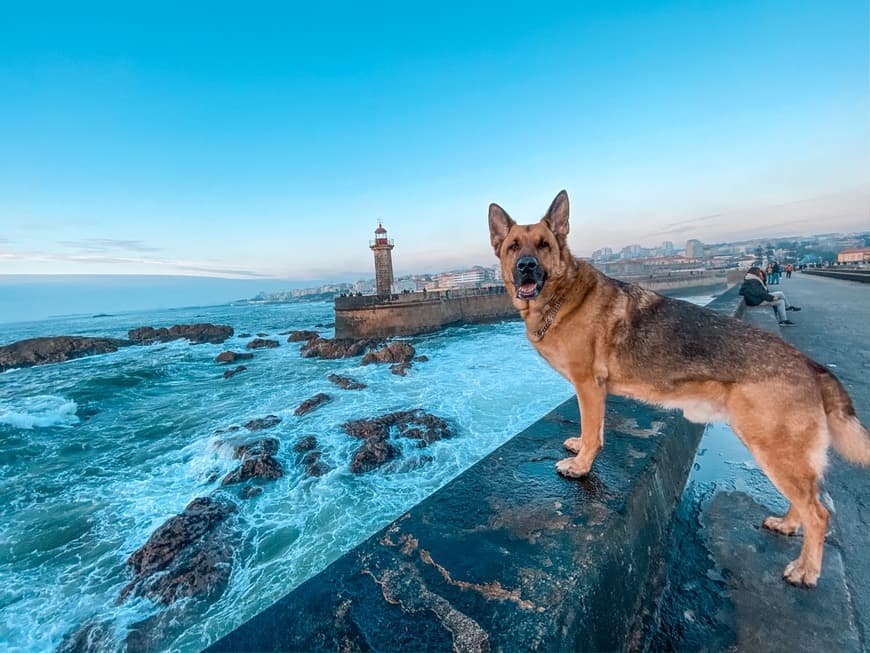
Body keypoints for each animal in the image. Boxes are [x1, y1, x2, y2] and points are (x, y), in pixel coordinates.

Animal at [490, 187, 870, 584]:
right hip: (782, 452)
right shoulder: (591, 390)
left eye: (543, 245)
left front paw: (580, 466)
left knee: (819, 513)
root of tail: (811, 366)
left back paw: (806, 569)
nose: (526, 266)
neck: (562, 296)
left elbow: (593, 430)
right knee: (806, 499)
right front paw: (579, 445)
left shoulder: (588, 386)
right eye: (514, 246)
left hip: (773, 448)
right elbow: (591, 428)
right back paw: (787, 524)